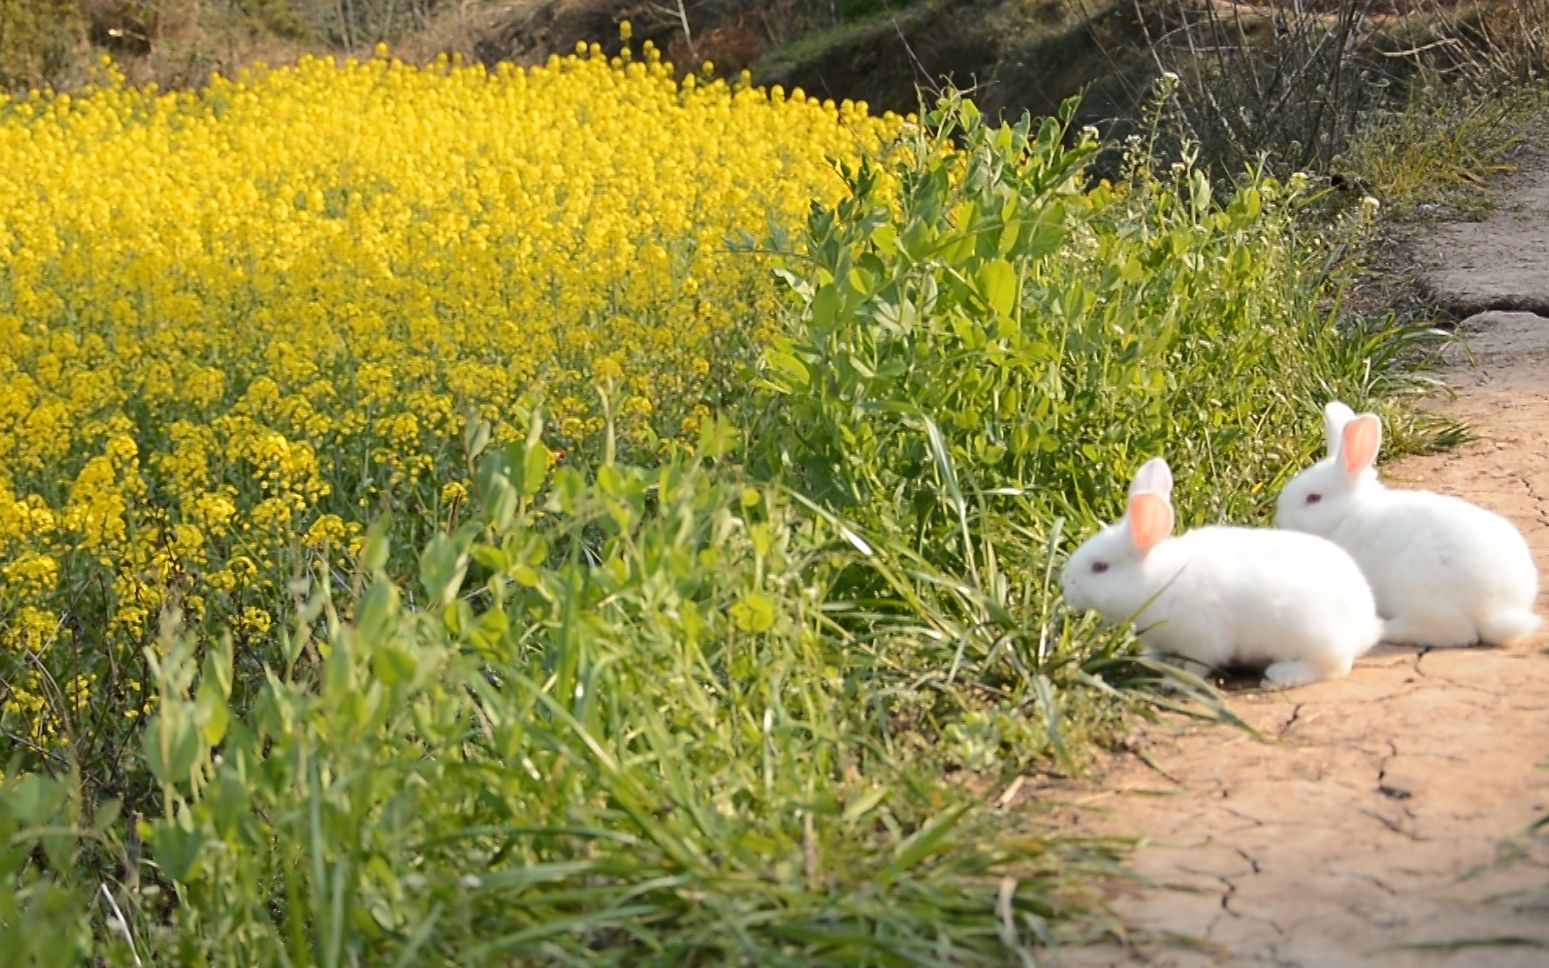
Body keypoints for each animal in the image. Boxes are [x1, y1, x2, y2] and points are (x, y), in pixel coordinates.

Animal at [1065, 455, 1381, 687]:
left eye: (1099, 567)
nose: (1066, 586)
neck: (1159, 581)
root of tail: (1366, 623)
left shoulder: (1201, 640)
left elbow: (1195, 667)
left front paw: (1174, 682)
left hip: (1313, 635)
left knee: (1335, 665)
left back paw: (1281, 675)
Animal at [1270, 399, 1536, 650]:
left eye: (1313, 498)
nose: (1280, 521)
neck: (1350, 515)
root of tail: (1498, 610)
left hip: (1421, 591)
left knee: (1455, 632)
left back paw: (1387, 628)